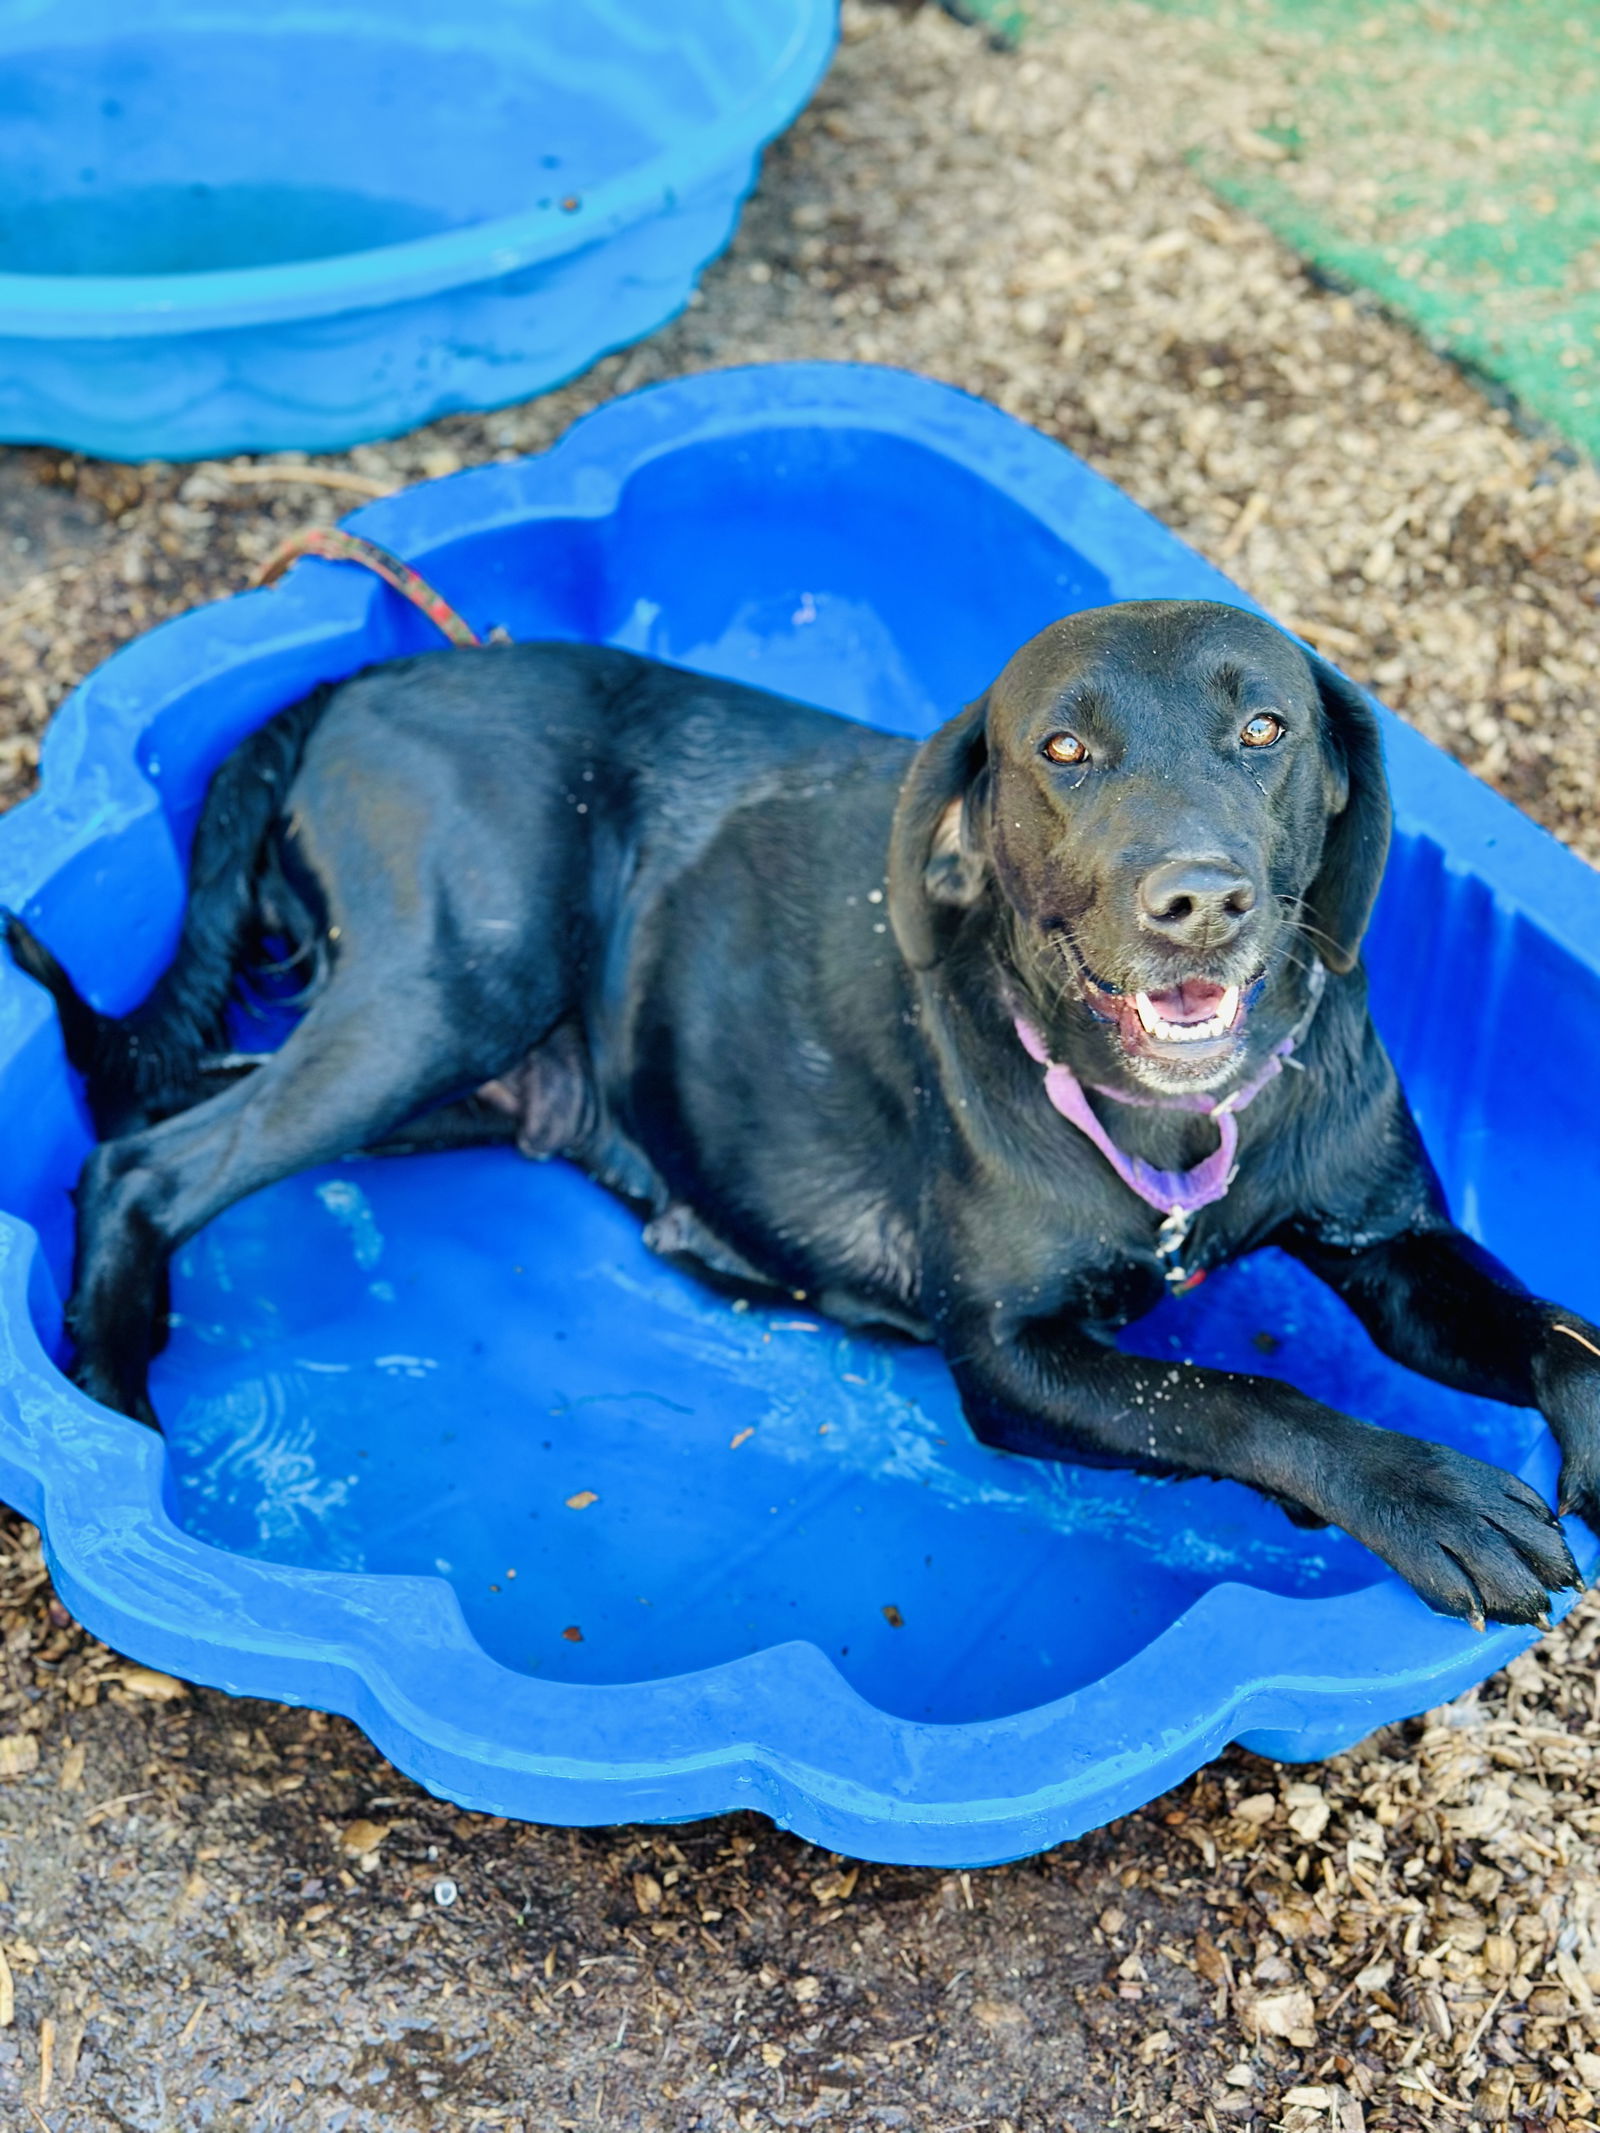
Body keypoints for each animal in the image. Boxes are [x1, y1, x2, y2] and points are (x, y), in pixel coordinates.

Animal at [12, 601, 1600, 1629]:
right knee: (140, 1164)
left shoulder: (1394, 1248)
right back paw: (112, 1410)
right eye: (1064, 753)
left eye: (1266, 727)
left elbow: (1557, 1336)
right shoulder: (1009, 1361)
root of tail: (362, 675)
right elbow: (1235, 1395)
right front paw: (1416, 1492)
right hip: (450, 988)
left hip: (459, 1068)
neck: (1177, 1136)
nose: (1198, 901)